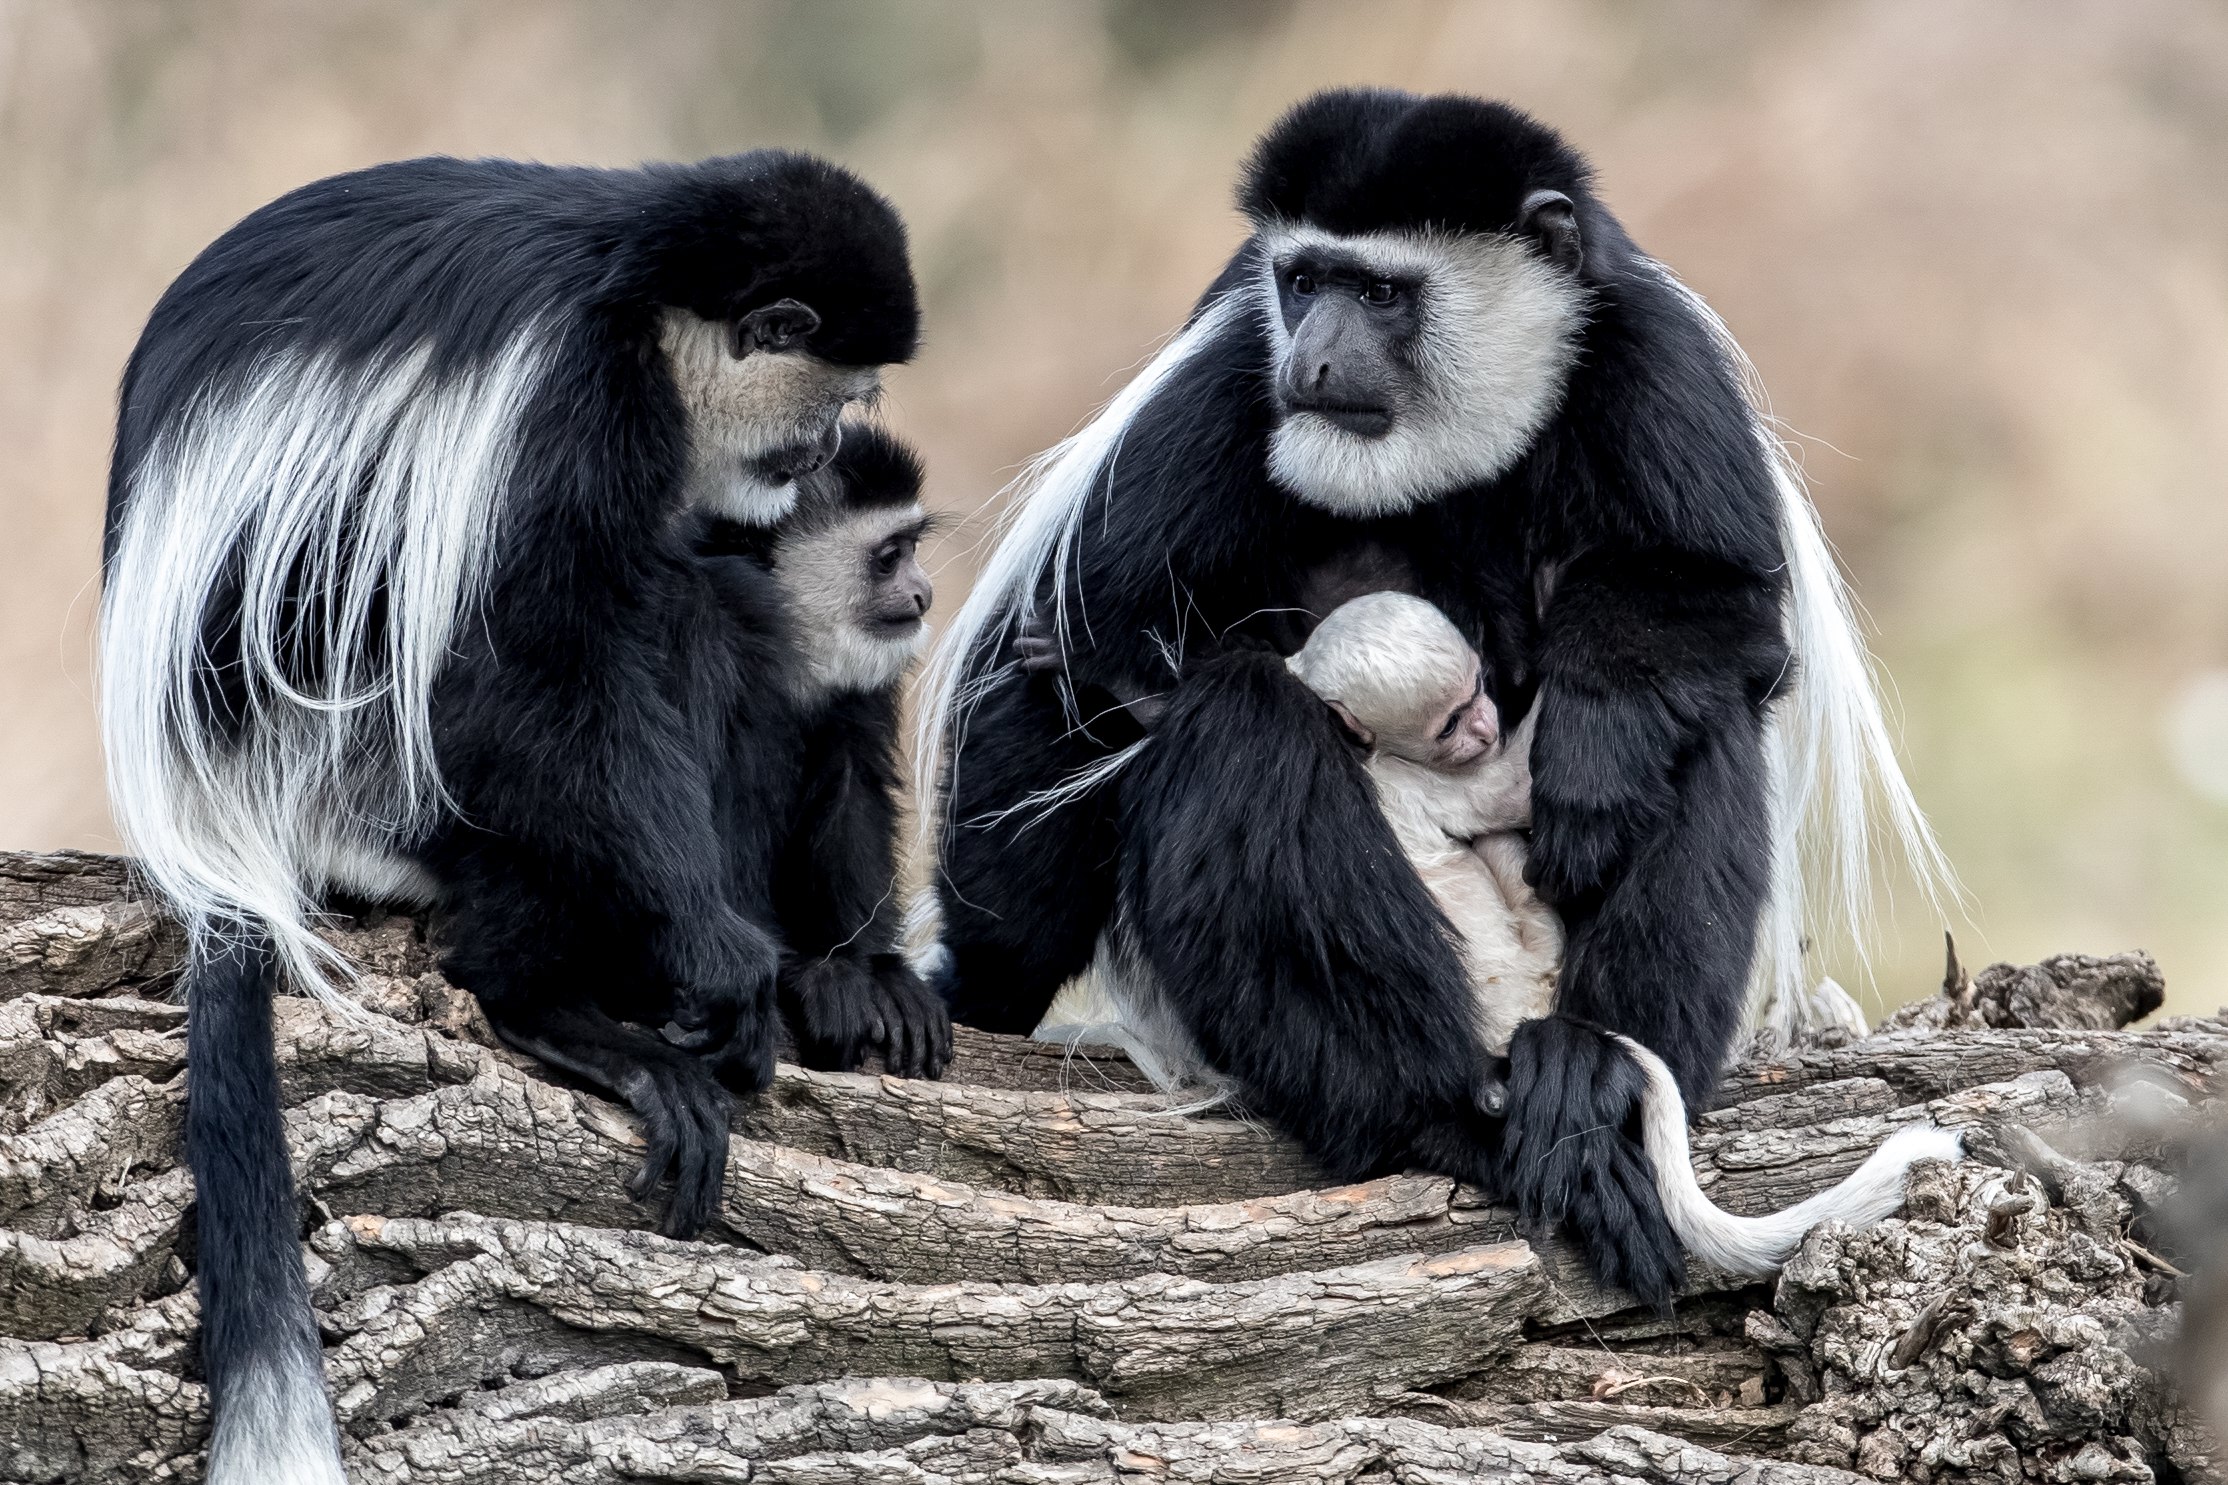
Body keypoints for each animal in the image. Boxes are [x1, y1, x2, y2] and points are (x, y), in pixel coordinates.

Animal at [100, 153, 917, 1485]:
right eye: (830, 403)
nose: (813, 458)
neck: (638, 289)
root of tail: (210, 817)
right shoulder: (572, 404)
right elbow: (533, 654)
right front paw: (719, 959)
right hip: (361, 774)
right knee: (629, 628)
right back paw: (570, 1011)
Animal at [913, 90, 1942, 1300]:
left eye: (1380, 293)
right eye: (1304, 280)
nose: (1314, 360)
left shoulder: (1656, 364)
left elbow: (1725, 607)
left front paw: (1593, 748)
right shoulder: (1225, 374)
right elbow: (1063, 648)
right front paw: (976, 988)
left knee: (1698, 716)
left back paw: (1590, 1079)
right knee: (1236, 720)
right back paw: (1446, 1116)